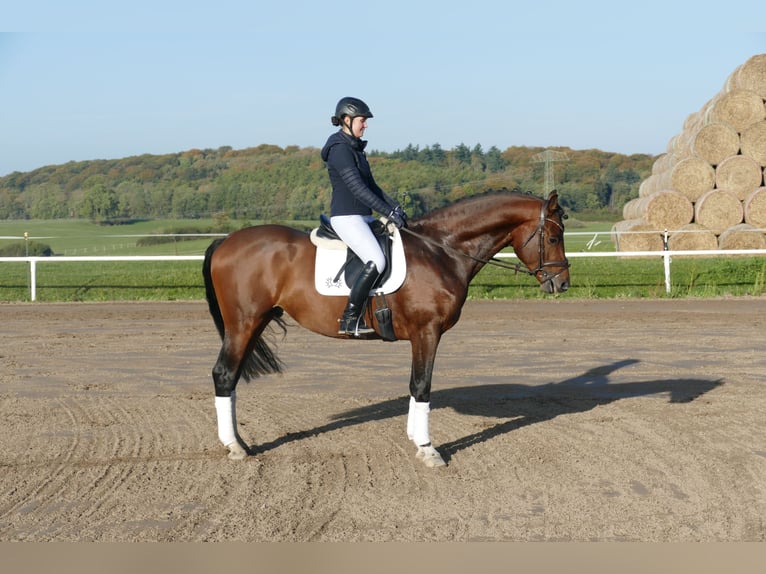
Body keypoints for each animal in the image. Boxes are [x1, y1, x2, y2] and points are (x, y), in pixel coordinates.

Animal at [202, 189, 568, 468]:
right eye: (552, 236)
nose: (562, 284)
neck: (440, 250)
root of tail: (225, 242)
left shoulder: (423, 334)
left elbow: (415, 387)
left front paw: (415, 439)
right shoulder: (427, 331)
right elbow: (422, 385)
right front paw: (428, 450)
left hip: (256, 322)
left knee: (231, 377)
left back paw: (238, 441)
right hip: (243, 323)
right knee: (224, 374)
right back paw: (235, 447)